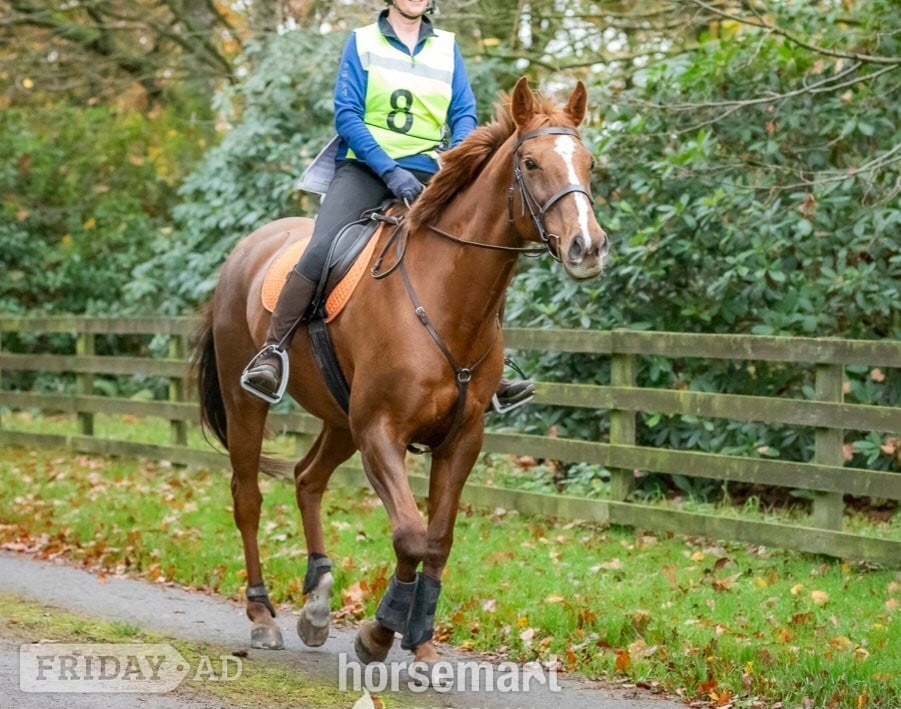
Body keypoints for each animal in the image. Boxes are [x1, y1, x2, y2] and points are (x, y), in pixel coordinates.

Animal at [193, 76, 609, 672]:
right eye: (530, 163)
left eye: (589, 163)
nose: (587, 247)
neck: (445, 297)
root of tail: (244, 252)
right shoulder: (381, 433)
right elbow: (411, 534)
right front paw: (379, 632)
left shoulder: (460, 439)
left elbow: (438, 540)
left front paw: (422, 641)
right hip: (248, 402)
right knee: (247, 498)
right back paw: (263, 616)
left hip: (339, 420)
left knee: (307, 478)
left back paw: (317, 605)